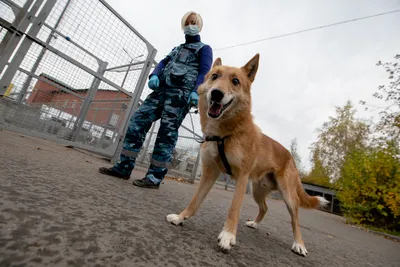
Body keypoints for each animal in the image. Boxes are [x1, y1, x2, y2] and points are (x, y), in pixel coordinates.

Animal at [166, 54, 328, 258]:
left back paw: (299, 244)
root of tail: (290, 156)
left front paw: (227, 236)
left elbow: (233, 209)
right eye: (214, 76)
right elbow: (195, 201)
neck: (224, 134)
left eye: (235, 81)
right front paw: (181, 218)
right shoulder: (209, 173)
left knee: (295, 220)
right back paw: (255, 223)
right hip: (258, 190)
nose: (216, 94)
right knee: (265, 207)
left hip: (288, 196)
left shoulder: (242, 177)